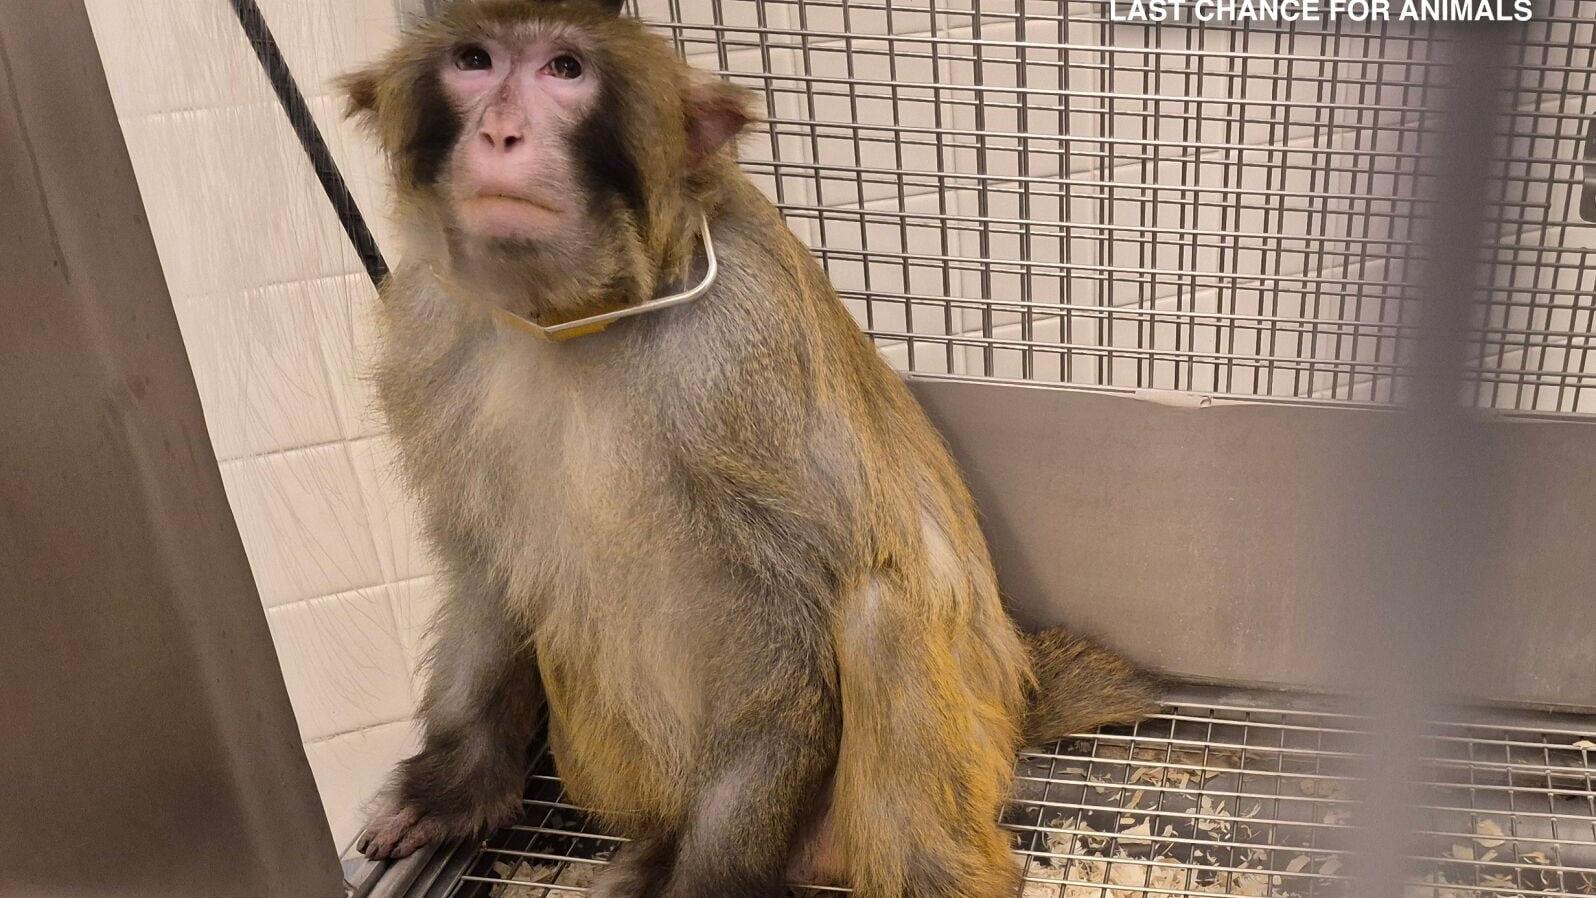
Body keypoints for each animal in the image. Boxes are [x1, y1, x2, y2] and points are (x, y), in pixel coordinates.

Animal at [340, 2, 1161, 896]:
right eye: (474, 61)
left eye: (565, 70)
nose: (500, 132)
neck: (581, 320)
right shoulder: (432, 325)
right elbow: (486, 565)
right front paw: (456, 783)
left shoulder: (737, 364)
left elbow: (789, 629)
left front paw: (709, 877)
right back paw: (654, 847)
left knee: (879, 612)